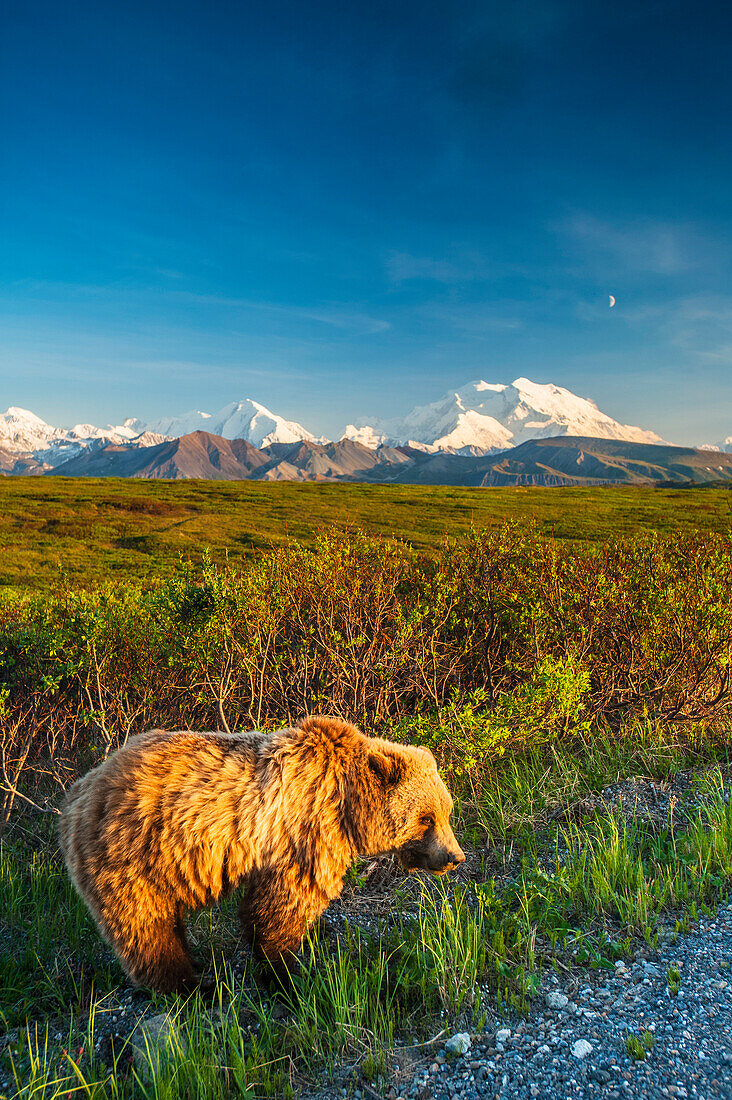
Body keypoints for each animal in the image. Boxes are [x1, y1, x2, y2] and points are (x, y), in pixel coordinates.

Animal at [59, 717, 464, 994]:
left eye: (446, 811)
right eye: (426, 818)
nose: (454, 857)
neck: (348, 805)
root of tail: (78, 792)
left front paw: (311, 938)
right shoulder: (304, 828)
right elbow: (283, 903)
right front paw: (286, 970)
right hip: (132, 853)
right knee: (144, 924)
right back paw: (191, 985)